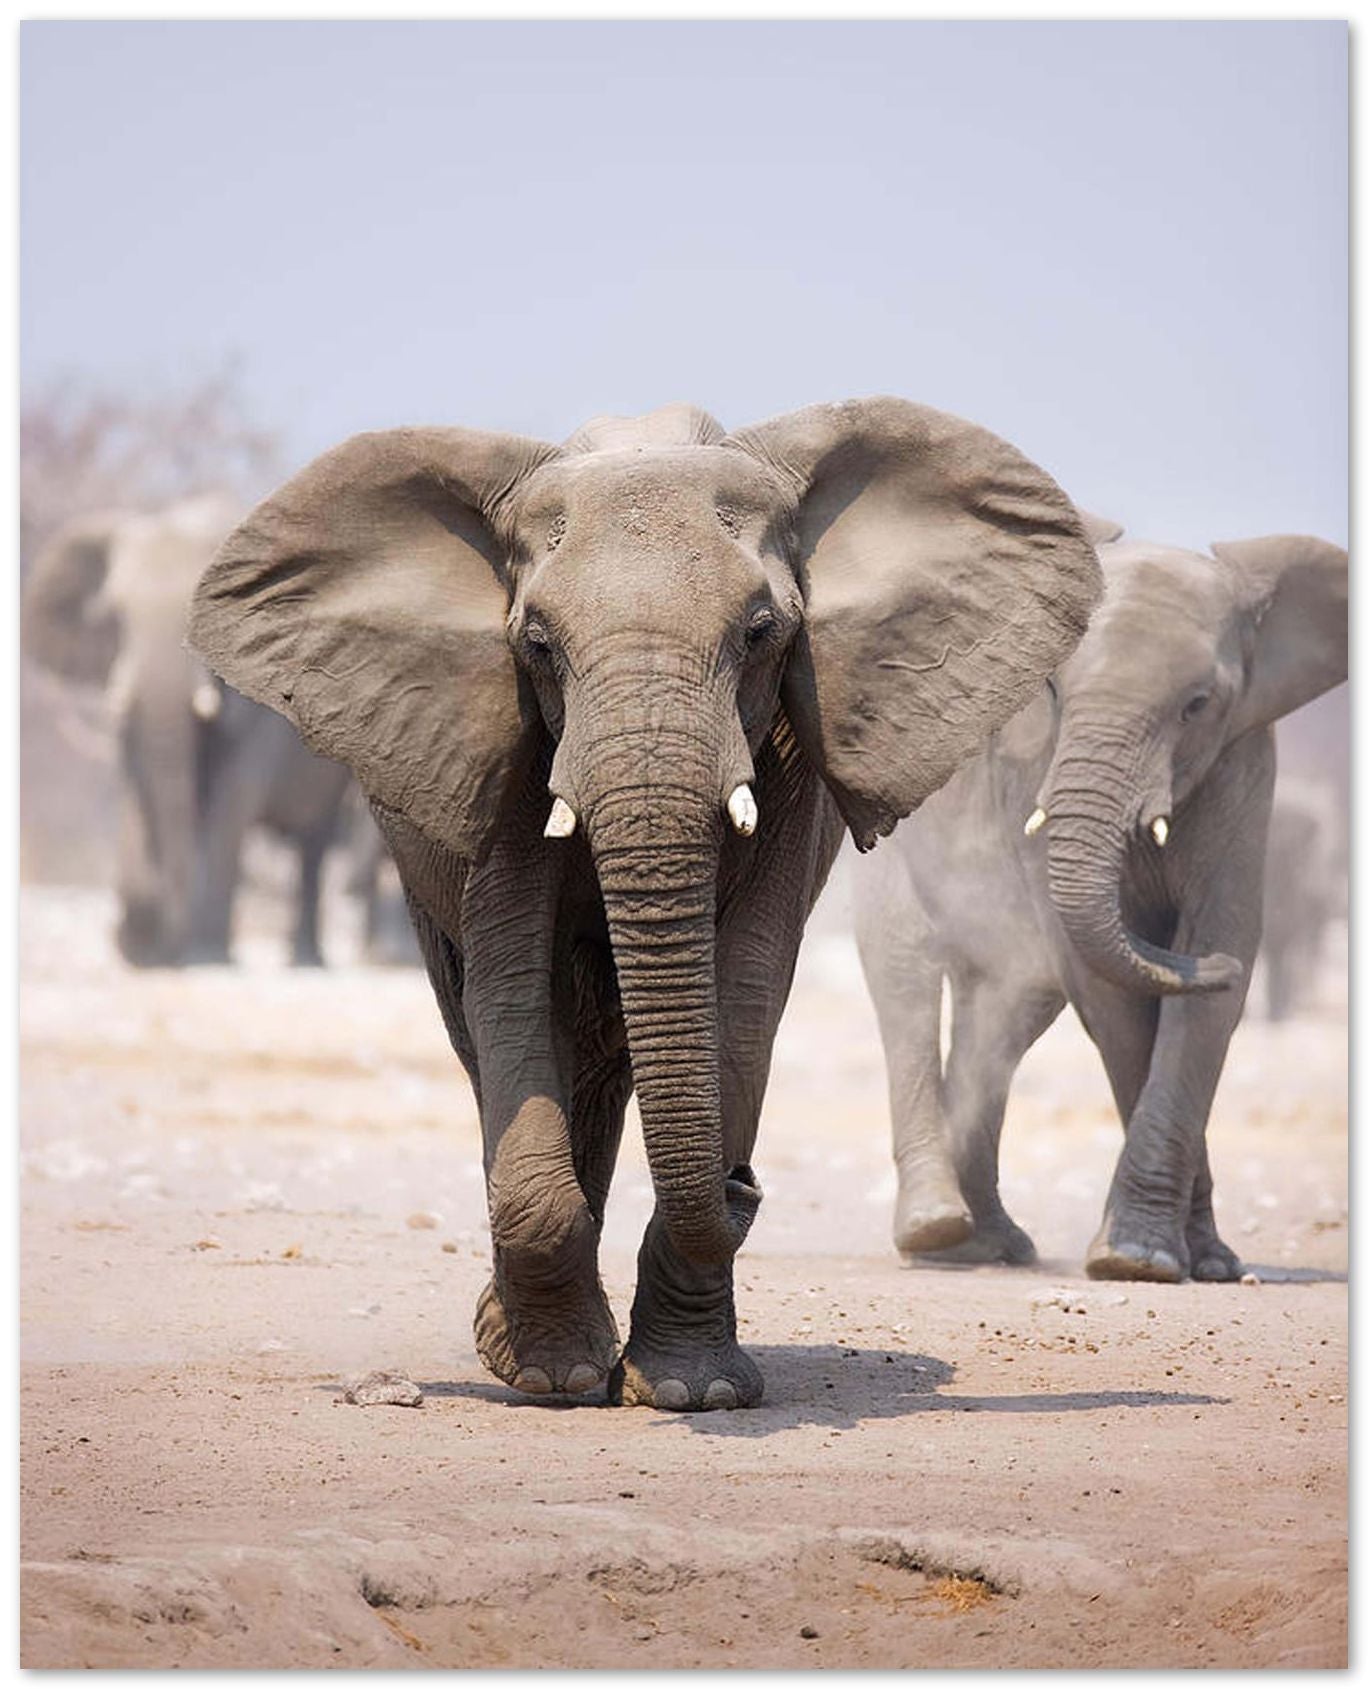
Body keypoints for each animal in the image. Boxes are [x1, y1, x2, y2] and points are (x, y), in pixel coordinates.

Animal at [22, 495, 354, 967]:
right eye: (115, 618)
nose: (133, 937)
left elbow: (229, 797)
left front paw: (206, 953)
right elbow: (142, 785)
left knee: (313, 842)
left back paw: (306, 961)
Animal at [188, 397, 1101, 1410]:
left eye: (761, 632)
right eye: (537, 644)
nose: (745, 1182)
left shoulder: (790, 762)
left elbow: (745, 988)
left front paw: (691, 1392)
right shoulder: (508, 739)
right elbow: (512, 978)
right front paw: (555, 1376)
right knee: (504, 1031)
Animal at [854, 516, 1348, 1282]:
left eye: (1197, 705)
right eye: (1053, 691)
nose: (1210, 967)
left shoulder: (1243, 760)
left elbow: (1213, 968)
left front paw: (1193, 1262)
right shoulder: (1033, 766)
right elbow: (1112, 996)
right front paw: (1140, 1259)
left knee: (1007, 1005)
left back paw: (986, 1247)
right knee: (906, 972)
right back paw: (935, 1233)